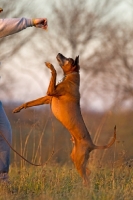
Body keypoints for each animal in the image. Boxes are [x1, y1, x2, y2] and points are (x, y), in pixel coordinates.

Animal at [13, 53, 116, 184]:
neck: (71, 76)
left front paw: (50, 65)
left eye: (68, 59)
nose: (59, 53)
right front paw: (18, 108)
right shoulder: (48, 97)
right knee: (88, 171)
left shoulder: (51, 92)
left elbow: (54, 72)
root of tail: (92, 145)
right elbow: (30, 102)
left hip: (78, 160)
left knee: (86, 179)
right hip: (75, 158)